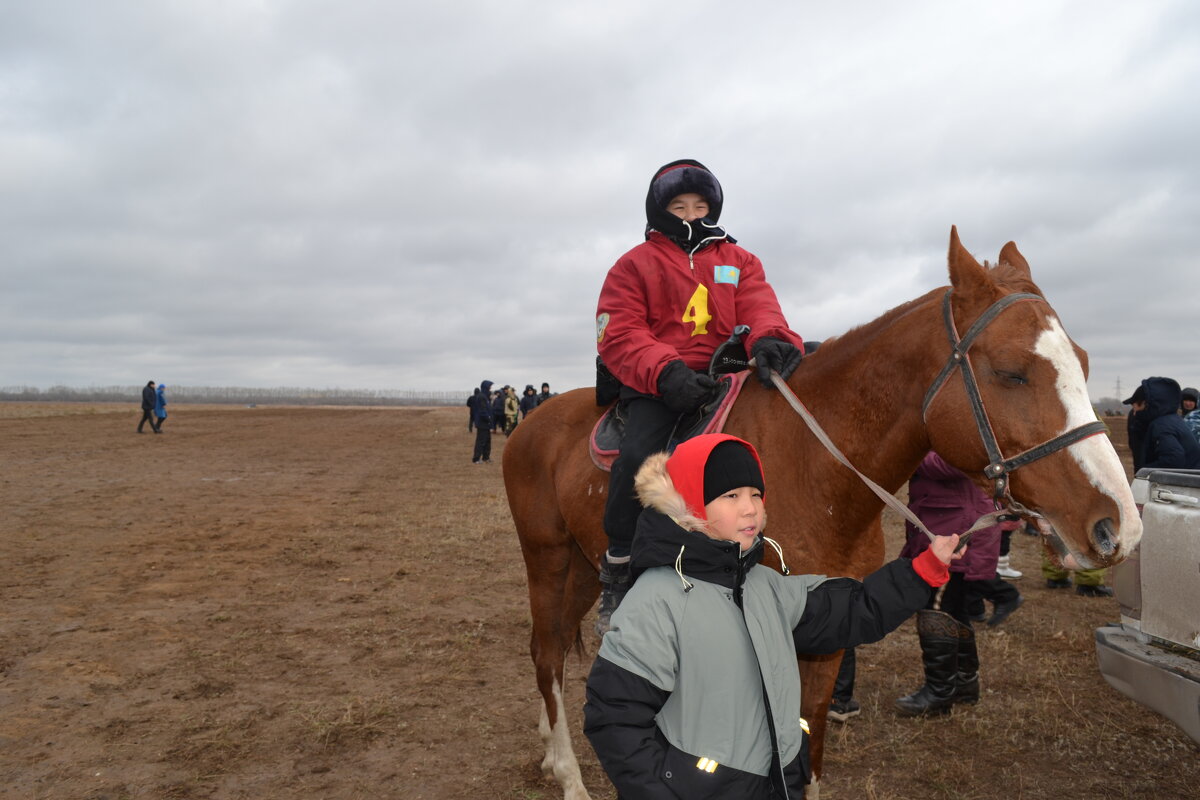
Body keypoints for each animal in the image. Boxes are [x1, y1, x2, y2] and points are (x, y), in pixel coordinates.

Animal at [501, 226, 1137, 800]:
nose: (1119, 526)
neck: (811, 465)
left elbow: (809, 745)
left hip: (583, 565)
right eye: (1010, 371)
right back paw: (569, 776)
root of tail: (533, 421)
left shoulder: (825, 634)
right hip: (548, 559)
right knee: (546, 652)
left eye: (1083, 362)